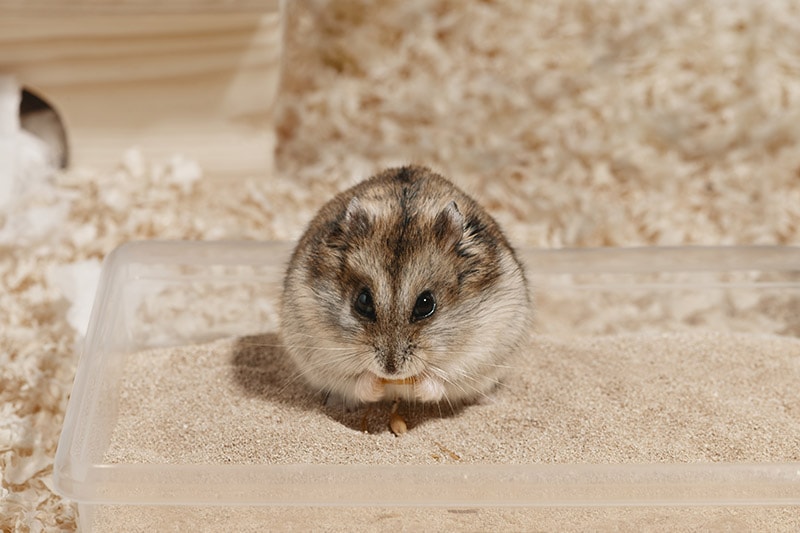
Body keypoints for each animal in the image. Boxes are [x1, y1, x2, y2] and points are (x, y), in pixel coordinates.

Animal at [281, 165, 531, 408]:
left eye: (425, 304)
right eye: (363, 301)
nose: (390, 370)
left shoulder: (478, 354)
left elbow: (438, 382)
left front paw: (417, 383)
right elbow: (358, 382)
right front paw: (376, 384)